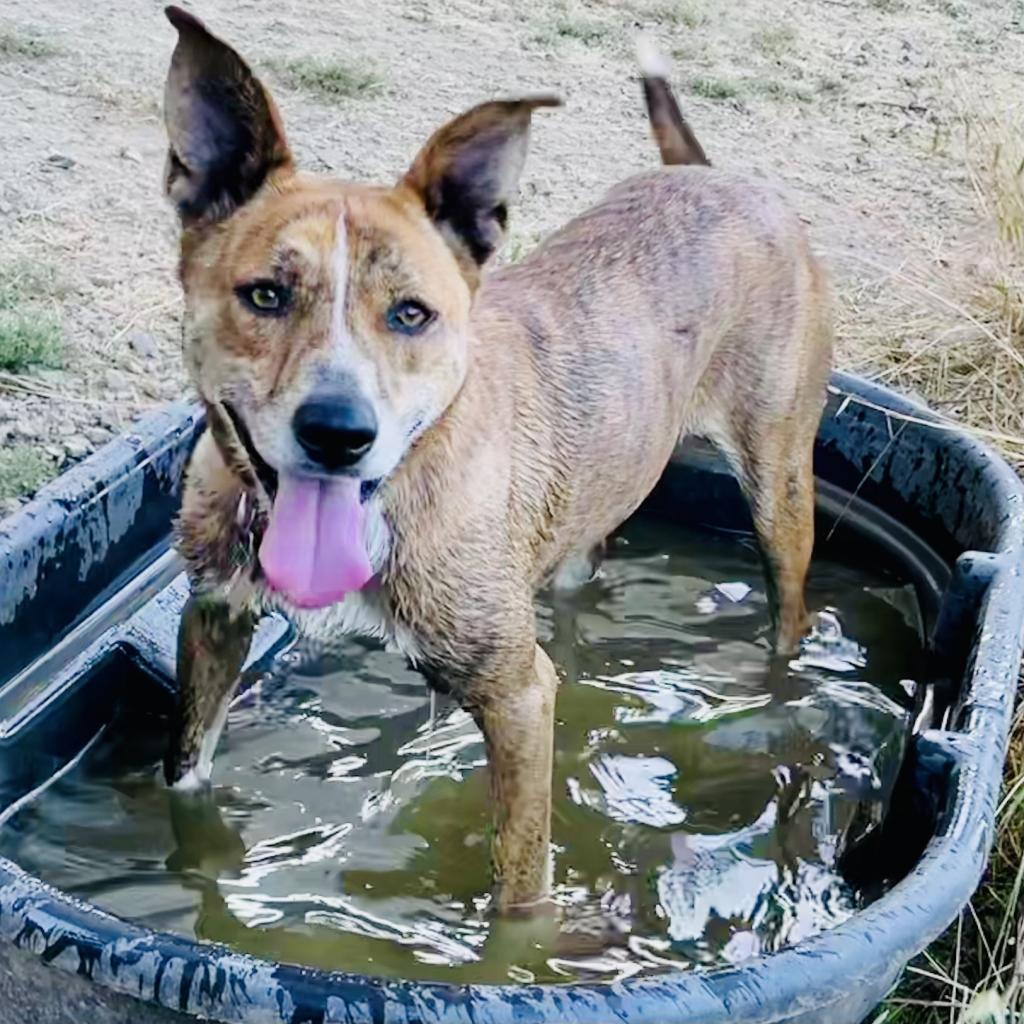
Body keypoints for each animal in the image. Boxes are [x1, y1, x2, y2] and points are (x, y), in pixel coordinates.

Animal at [159, 8, 831, 913]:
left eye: (412, 314)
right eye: (265, 294)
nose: (338, 432)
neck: (391, 498)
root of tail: (716, 175)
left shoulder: (517, 696)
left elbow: (520, 884)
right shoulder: (215, 617)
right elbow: (185, 776)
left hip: (779, 491)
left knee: (789, 611)